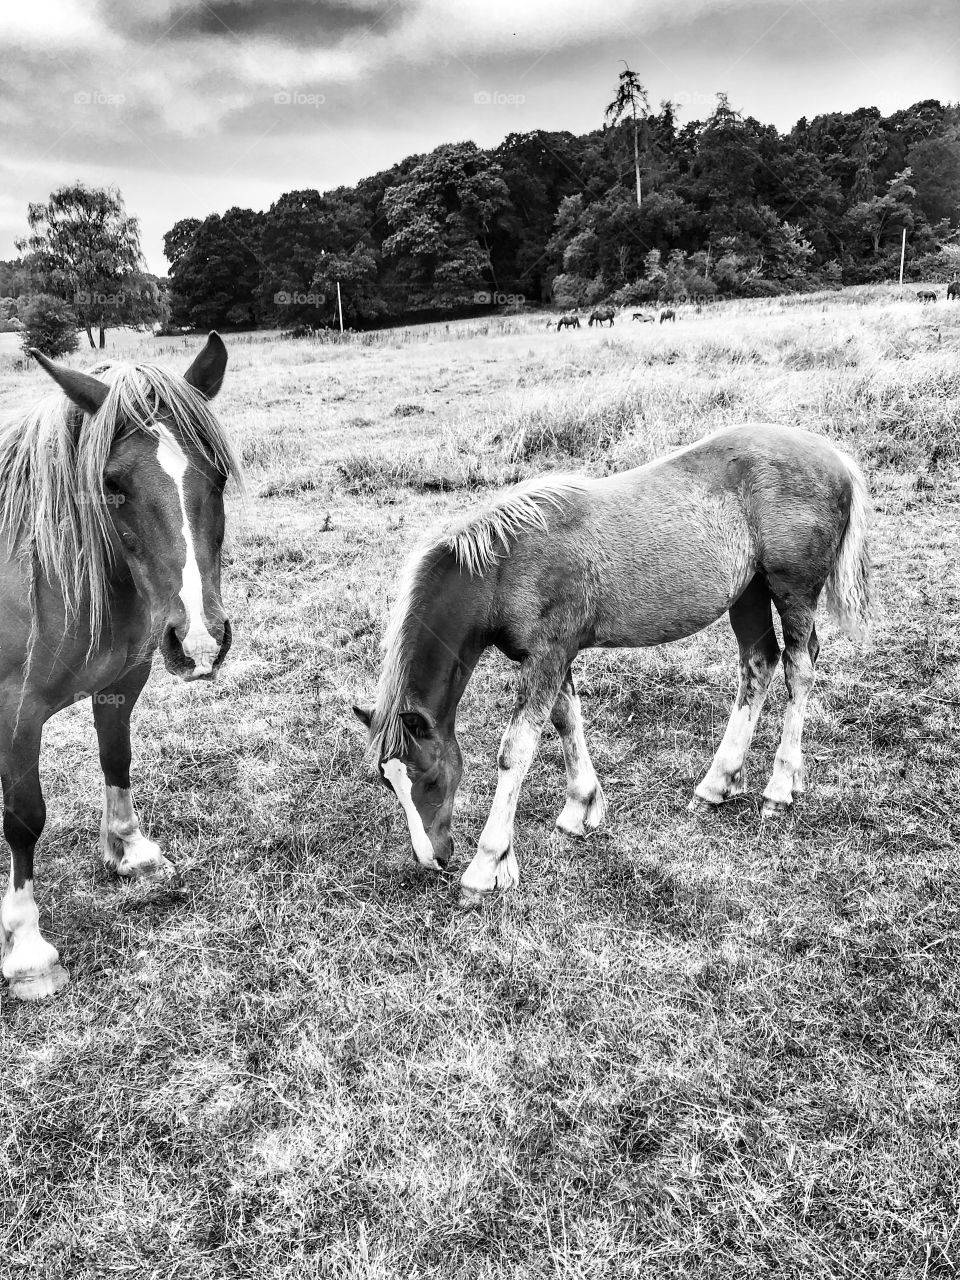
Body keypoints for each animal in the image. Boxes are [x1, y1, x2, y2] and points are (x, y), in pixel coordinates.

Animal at [0, 334, 240, 999]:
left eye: (217, 476)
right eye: (112, 484)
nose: (202, 640)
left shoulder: (121, 682)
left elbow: (117, 758)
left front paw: (131, 852)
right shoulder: (14, 713)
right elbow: (24, 817)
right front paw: (27, 949)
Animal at [355, 424, 870, 908]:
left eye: (432, 778)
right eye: (389, 784)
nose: (433, 859)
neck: (503, 569)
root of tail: (835, 457)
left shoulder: (547, 656)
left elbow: (515, 751)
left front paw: (487, 866)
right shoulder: (552, 656)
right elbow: (567, 720)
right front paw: (581, 808)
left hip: (793, 591)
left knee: (798, 670)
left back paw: (779, 788)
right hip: (748, 593)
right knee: (758, 665)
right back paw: (719, 783)